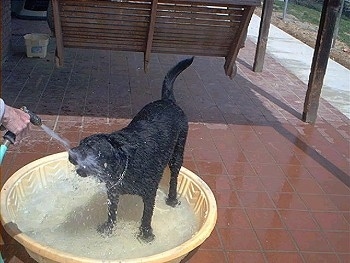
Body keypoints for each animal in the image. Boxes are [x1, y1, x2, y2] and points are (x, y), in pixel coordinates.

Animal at [68, 57, 194, 243]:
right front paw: (108, 229)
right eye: (81, 142)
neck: (124, 162)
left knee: (174, 177)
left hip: (178, 151)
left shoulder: (149, 193)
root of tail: (168, 100)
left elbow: (147, 215)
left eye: (91, 148)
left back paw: (172, 199)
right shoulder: (112, 190)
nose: (70, 154)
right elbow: (111, 212)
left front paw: (146, 234)